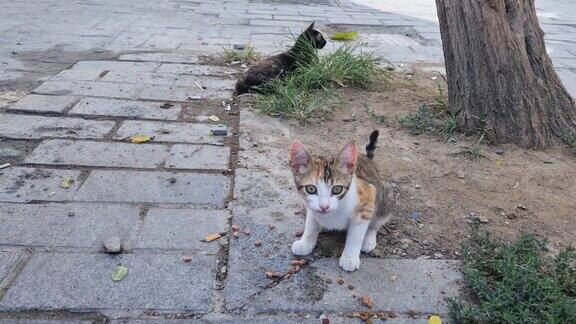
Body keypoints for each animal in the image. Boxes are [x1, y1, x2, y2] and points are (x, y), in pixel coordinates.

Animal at [288, 130, 392, 272]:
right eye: (311, 189)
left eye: (337, 189)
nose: (324, 207)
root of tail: (367, 159)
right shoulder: (311, 207)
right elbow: (311, 224)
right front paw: (306, 243)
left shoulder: (367, 197)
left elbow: (355, 236)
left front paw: (349, 258)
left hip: (383, 199)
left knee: (376, 221)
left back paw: (369, 240)